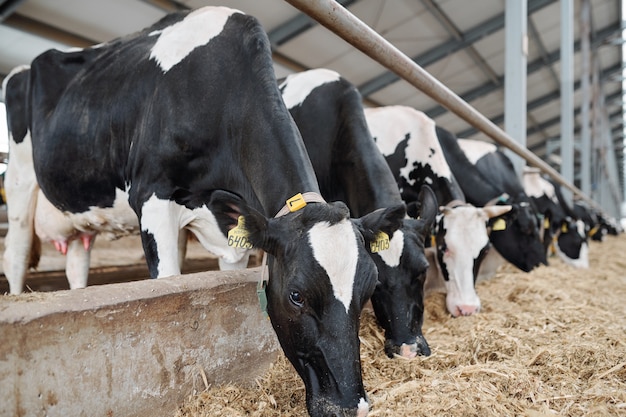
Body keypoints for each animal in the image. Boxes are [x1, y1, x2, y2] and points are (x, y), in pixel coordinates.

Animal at [3, 8, 404, 414]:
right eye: (296, 295)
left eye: (369, 287)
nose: (353, 406)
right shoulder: (152, 197)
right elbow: (166, 283)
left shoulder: (232, 231)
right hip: (19, 178)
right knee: (16, 254)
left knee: (76, 264)